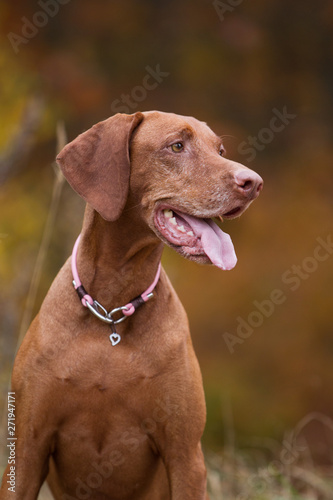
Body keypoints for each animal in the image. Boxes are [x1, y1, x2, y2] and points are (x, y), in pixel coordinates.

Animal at [0, 113, 262, 500]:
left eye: (220, 150)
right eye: (176, 146)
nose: (254, 183)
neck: (112, 309)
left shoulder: (185, 455)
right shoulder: (28, 448)